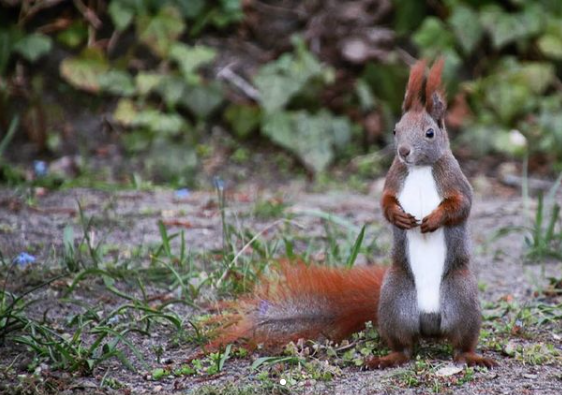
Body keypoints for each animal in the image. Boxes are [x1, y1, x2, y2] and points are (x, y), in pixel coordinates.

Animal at [207, 59, 494, 372]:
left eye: (430, 133)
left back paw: (473, 356)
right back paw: (385, 358)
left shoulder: (456, 181)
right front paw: (398, 217)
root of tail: (430, 325)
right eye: (395, 130)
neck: (419, 168)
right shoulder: (393, 179)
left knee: (460, 344)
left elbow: (461, 205)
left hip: (461, 299)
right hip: (395, 302)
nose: (404, 151)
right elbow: (385, 202)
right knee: (404, 348)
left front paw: (434, 219)